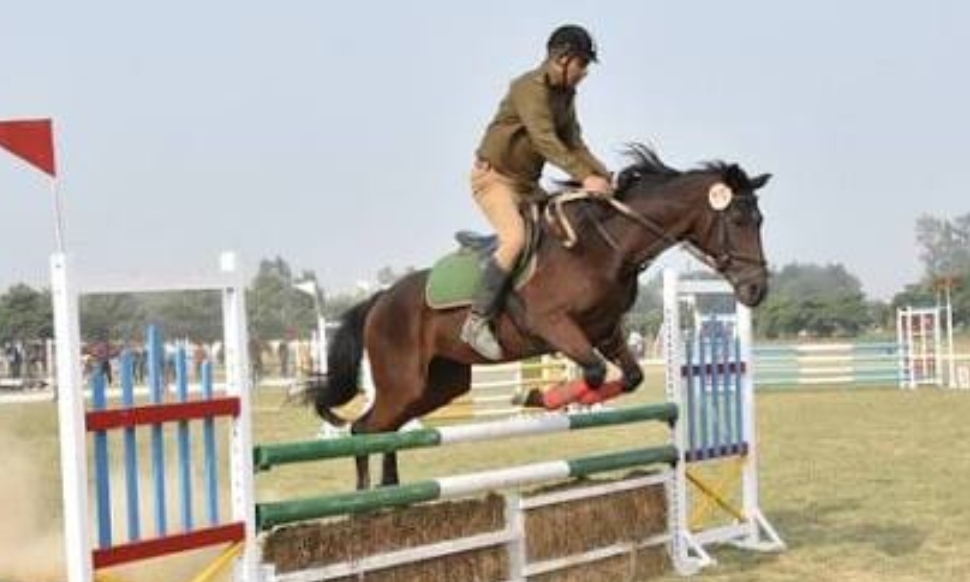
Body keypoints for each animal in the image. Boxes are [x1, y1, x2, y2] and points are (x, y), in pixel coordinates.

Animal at [306, 144, 768, 490]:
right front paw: (531, 398)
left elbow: (628, 376)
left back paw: (392, 490)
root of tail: (381, 300)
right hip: (403, 381)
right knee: (364, 428)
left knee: (387, 427)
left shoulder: (604, 330)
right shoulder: (554, 326)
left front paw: (544, 398)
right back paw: (366, 497)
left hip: (438, 385)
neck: (606, 245)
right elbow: (594, 371)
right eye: (738, 219)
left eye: (760, 219)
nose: (756, 290)